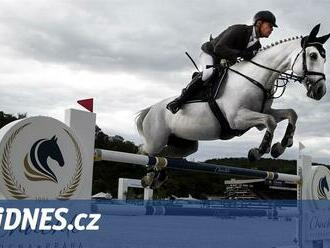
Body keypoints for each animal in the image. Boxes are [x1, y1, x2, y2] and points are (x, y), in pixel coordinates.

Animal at [135, 24, 328, 162]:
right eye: (313, 56)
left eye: (324, 58)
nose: (321, 91)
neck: (256, 77)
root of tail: (150, 109)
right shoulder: (237, 119)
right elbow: (270, 122)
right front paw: (259, 151)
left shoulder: (261, 113)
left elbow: (290, 114)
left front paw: (281, 146)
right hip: (156, 140)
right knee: (143, 151)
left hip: (184, 144)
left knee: (164, 155)